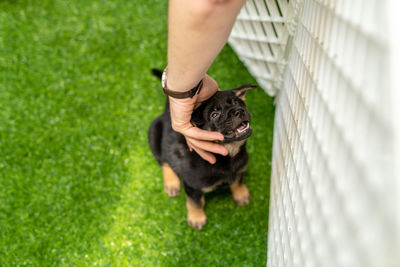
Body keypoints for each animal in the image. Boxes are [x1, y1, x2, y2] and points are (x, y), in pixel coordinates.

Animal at [148, 70, 256, 230]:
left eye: (236, 102)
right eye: (214, 115)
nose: (238, 111)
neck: (228, 155)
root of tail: (167, 112)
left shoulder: (240, 169)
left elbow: (238, 181)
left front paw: (241, 194)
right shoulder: (192, 185)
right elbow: (196, 202)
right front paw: (196, 218)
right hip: (154, 135)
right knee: (164, 162)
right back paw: (172, 183)